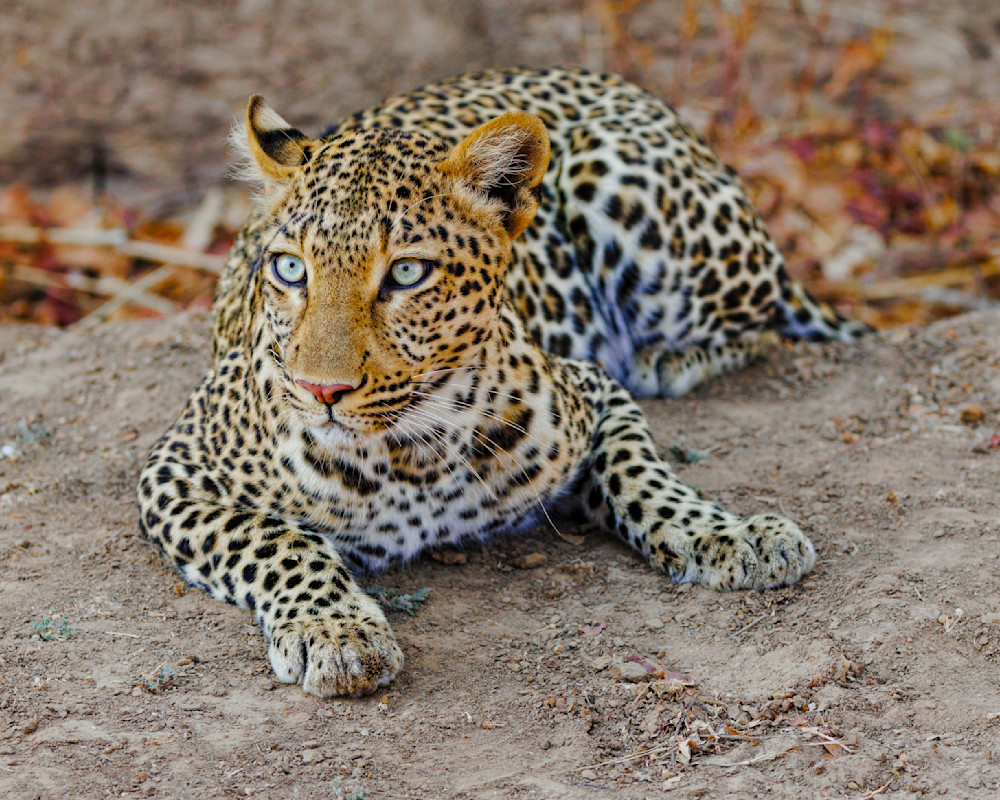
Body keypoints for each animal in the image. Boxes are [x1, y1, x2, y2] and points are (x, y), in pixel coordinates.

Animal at [138, 68, 867, 698]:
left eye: (406, 274)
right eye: (290, 268)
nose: (320, 392)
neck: (411, 458)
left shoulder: (594, 393)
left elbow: (645, 475)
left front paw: (731, 534)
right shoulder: (175, 469)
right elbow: (276, 541)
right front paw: (336, 631)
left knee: (763, 324)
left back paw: (664, 360)